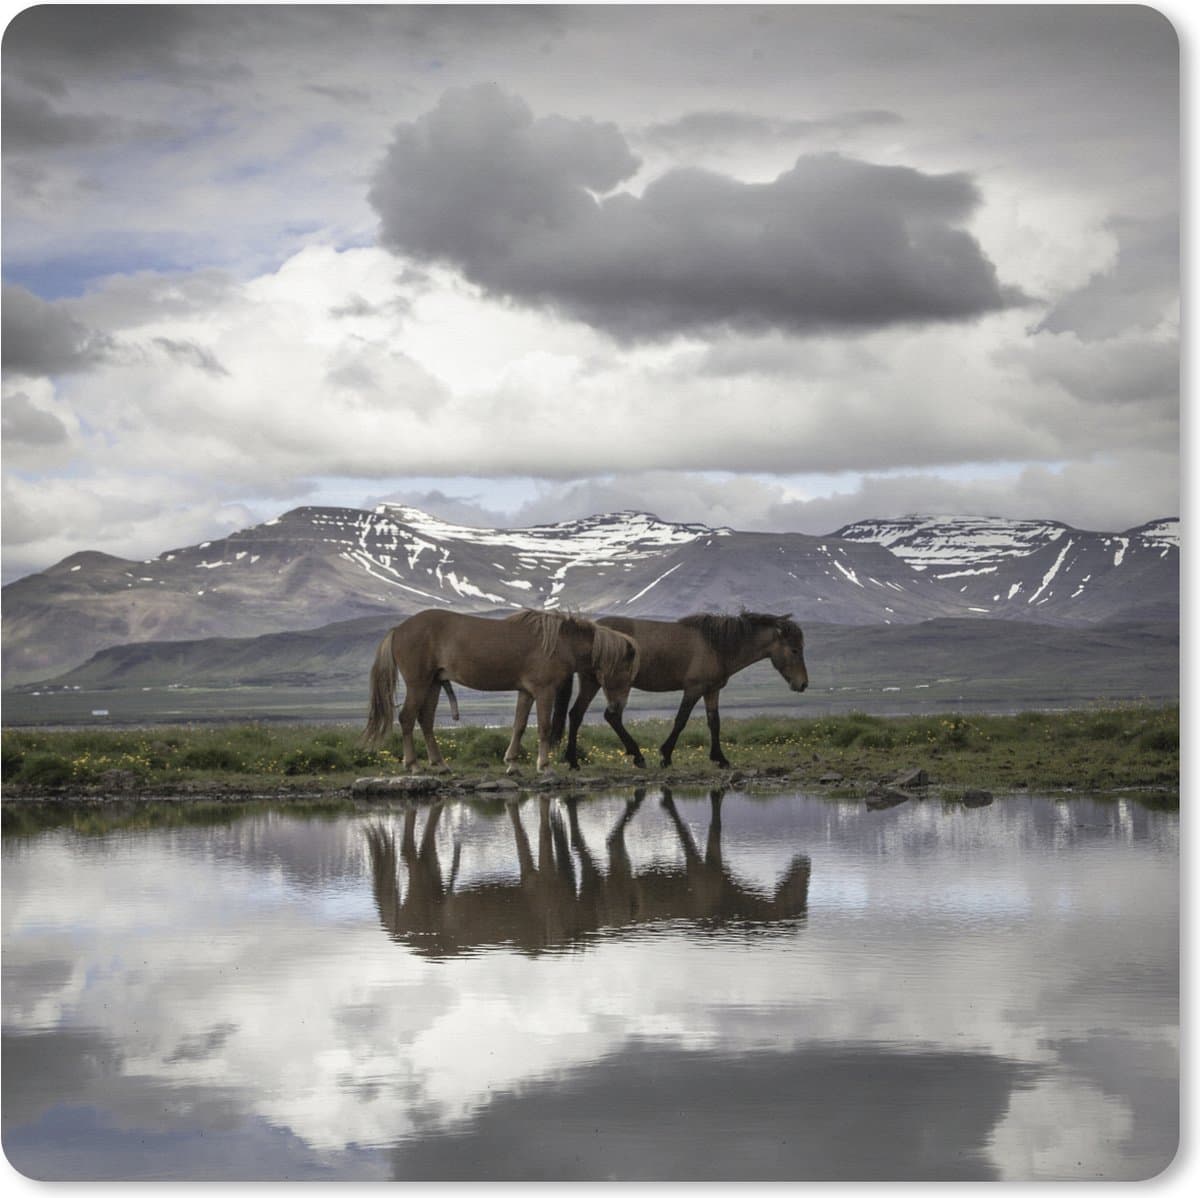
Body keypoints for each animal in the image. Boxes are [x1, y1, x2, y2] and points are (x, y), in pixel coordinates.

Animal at [361, 608, 639, 773]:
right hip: (418, 684)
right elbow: (544, 728)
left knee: (425, 721)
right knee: (407, 718)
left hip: (433, 684)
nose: (617, 708)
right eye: (625, 672)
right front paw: (544, 766)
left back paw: (439, 764)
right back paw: (414, 766)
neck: (560, 643)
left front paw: (512, 763)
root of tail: (399, 629)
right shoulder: (544, 692)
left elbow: (519, 726)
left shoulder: (526, 692)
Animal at [563, 611, 808, 770]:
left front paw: (720, 758)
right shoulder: (693, 689)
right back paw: (638, 756)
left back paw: (573, 761)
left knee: (576, 714)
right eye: (794, 650)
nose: (803, 684)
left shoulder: (712, 691)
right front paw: (666, 756)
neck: (717, 646)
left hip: (591, 681)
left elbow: (714, 723)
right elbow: (681, 720)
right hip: (616, 685)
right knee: (611, 716)